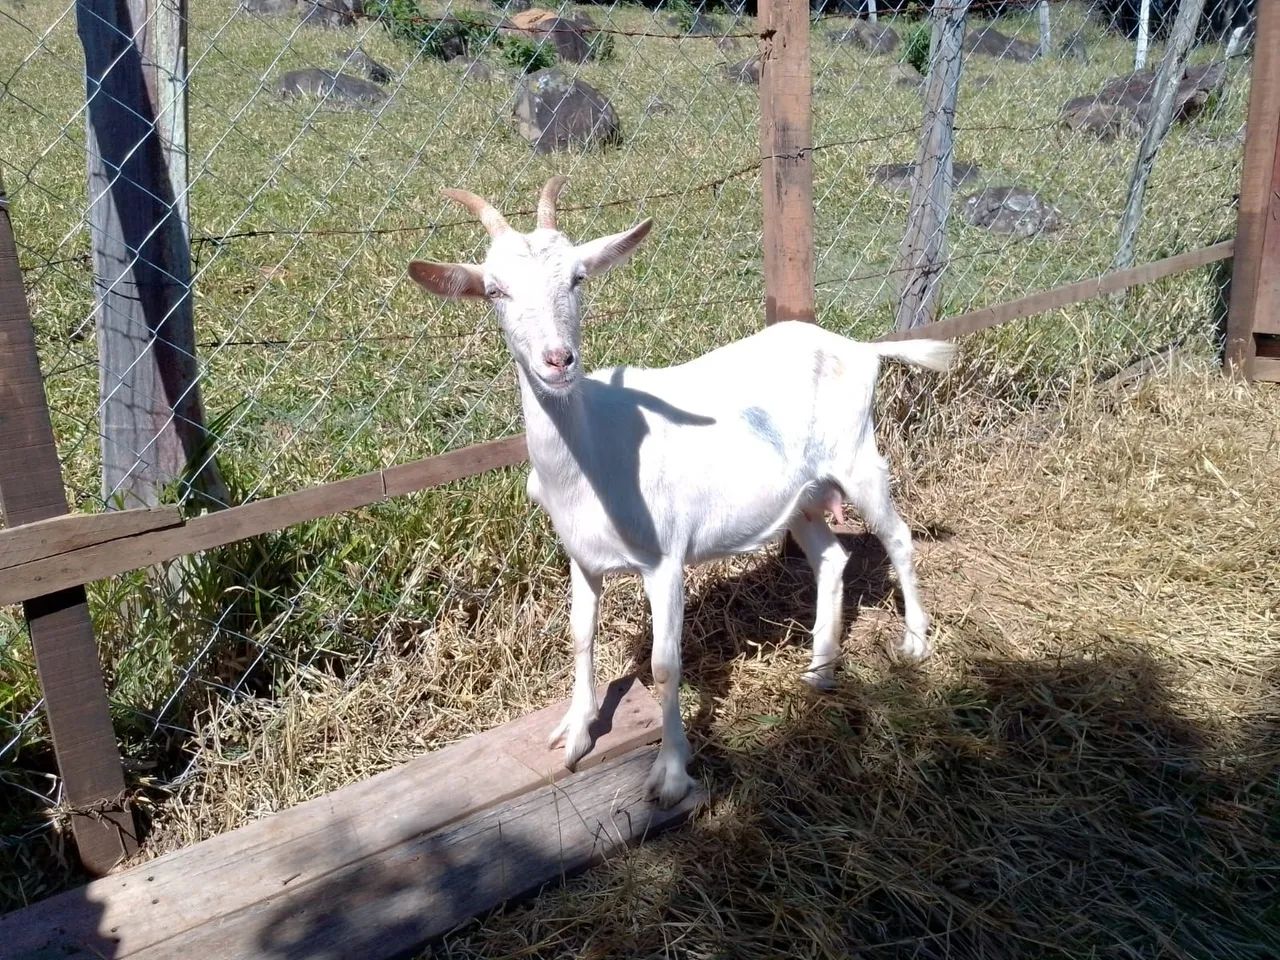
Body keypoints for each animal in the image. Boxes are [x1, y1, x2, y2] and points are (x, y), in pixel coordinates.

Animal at [408, 177, 956, 808]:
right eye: (494, 290)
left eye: (577, 278)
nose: (558, 360)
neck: (593, 452)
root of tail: (861, 347)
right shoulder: (581, 557)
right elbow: (580, 636)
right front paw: (575, 734)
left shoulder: (665, 559)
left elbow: (665, 665)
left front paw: (671, 775)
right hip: (800, 496)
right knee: (832, 557)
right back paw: (820, 670)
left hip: (857, 457)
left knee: (899, 536)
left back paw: (915, 643)